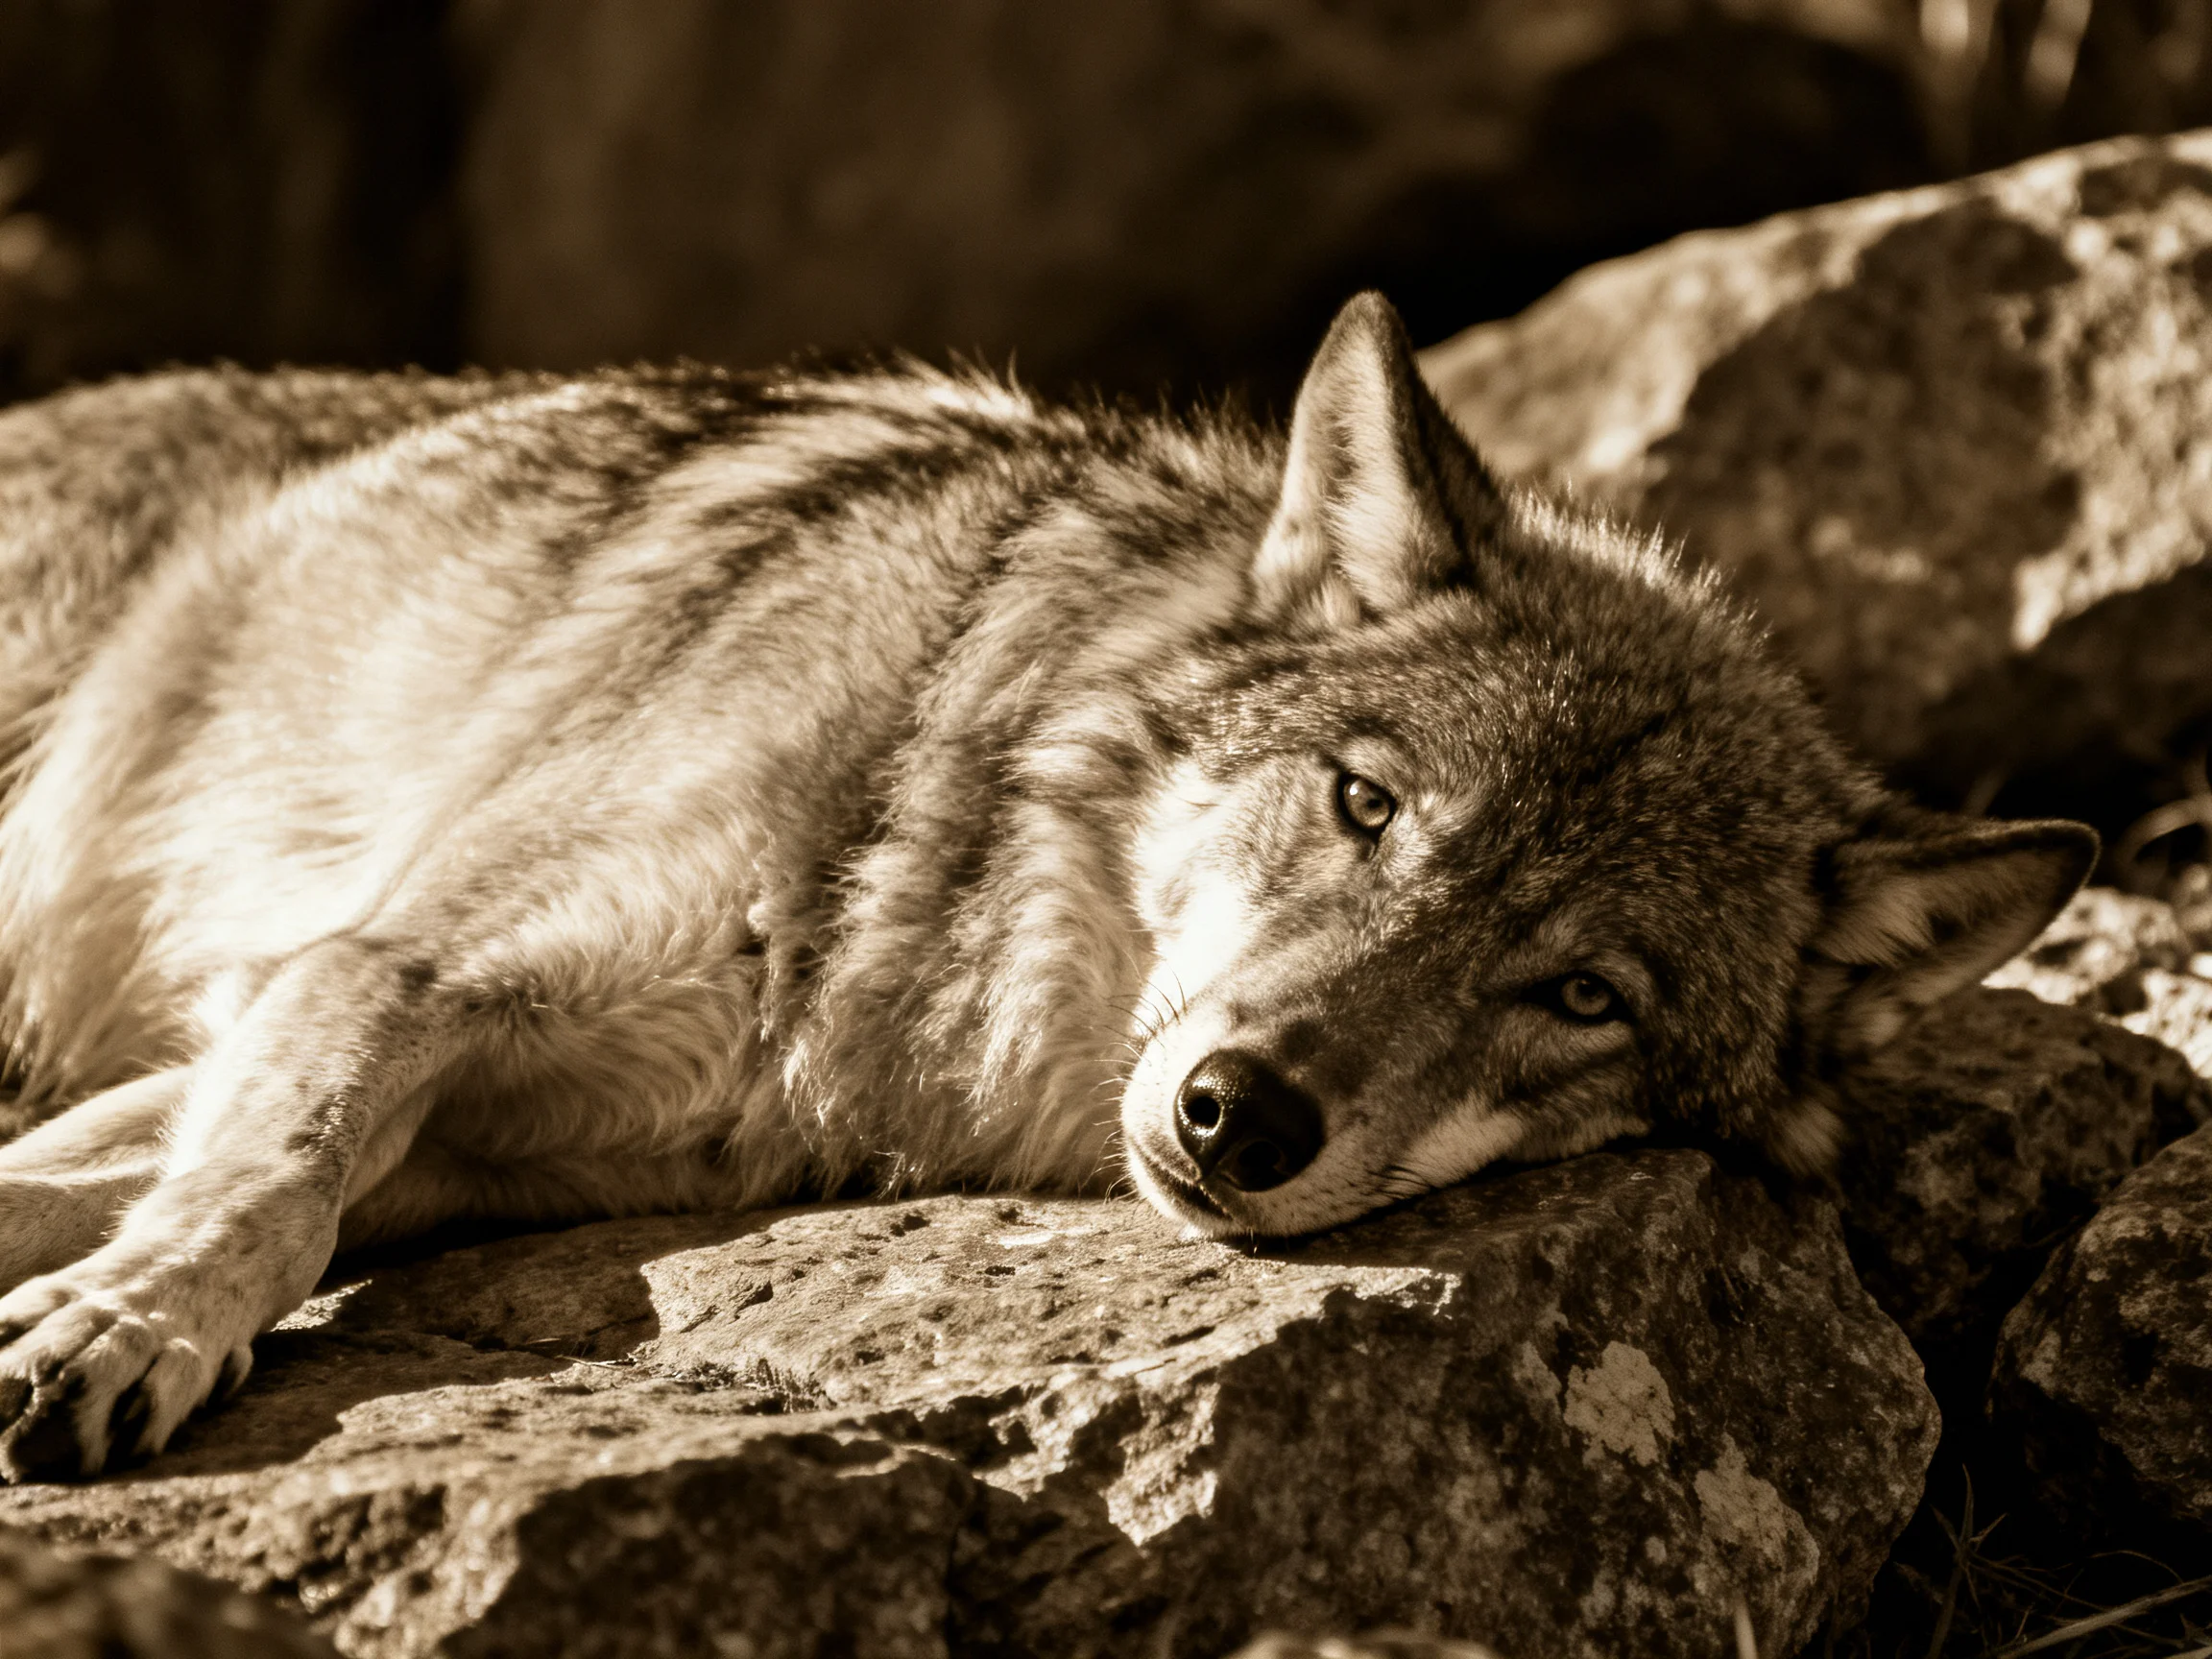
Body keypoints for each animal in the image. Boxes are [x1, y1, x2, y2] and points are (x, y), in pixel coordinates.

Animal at [0, 293, 2091, 1479]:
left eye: (1581, 994)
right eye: (1366, 804)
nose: (1244, 1113)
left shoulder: (443, 1133)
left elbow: (172, 1181)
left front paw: (98, 1306)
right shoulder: (377, 973)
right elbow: (268, 1182)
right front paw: (128, 1333)